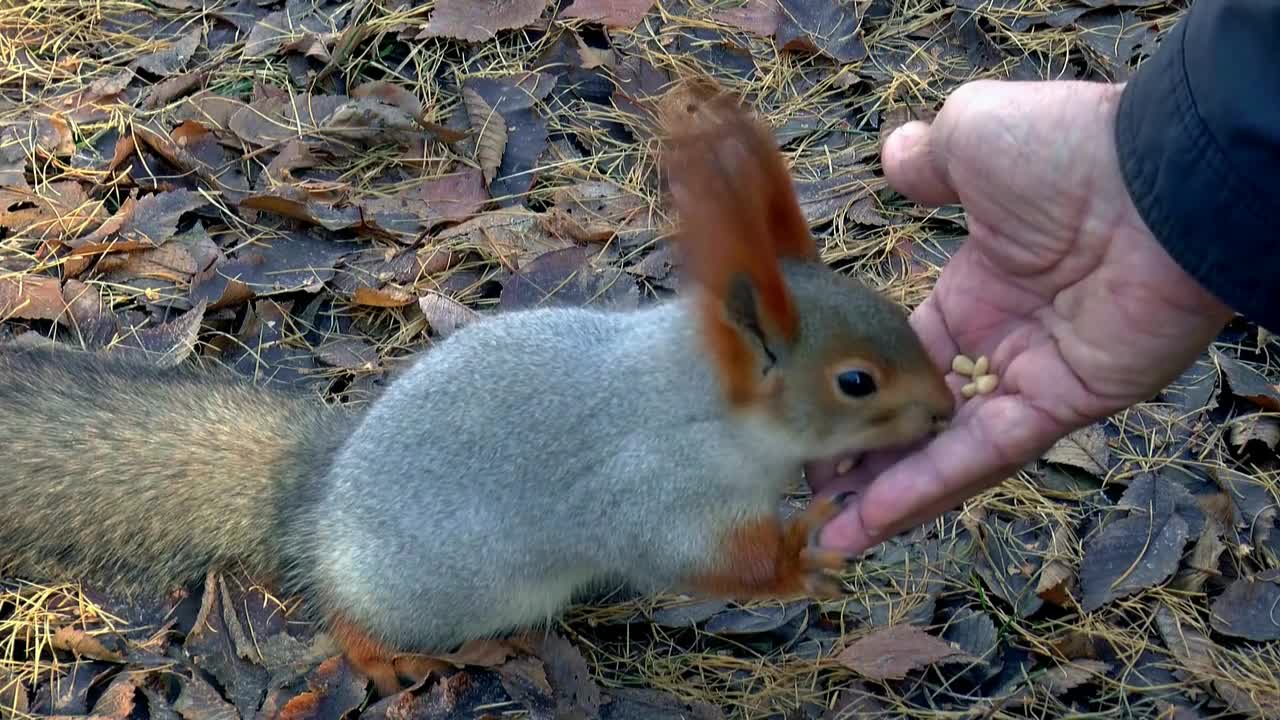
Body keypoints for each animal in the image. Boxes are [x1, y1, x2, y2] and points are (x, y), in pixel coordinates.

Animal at [0, 85, 957, 696]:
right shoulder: (650, 486)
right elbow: (690, 557)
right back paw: (382, 656)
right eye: (856, 381)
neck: (706, 405)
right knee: (349, 614)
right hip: (433, 589)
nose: (947, 411)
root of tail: (317, 500)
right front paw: (801, 556)